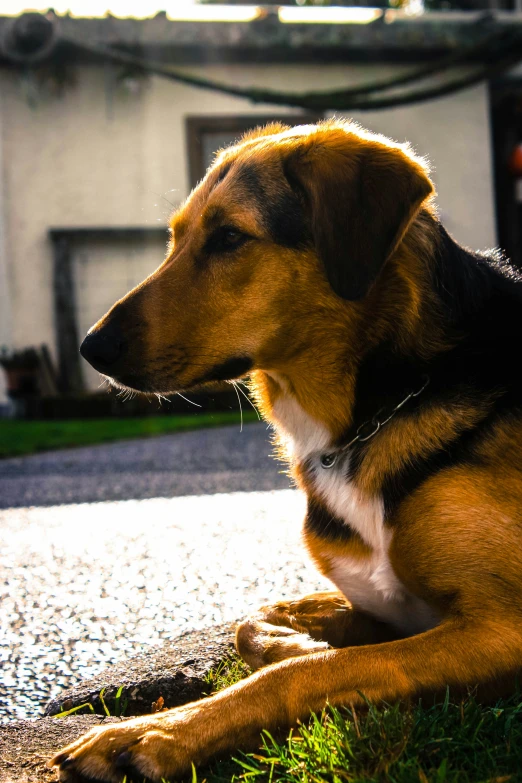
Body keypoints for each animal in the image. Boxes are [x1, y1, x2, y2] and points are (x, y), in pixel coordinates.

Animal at [47, 119, 520, 780]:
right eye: (175, 238)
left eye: (228, 237)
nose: (92, 348)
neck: (370, 411)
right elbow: (255, 622)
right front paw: (294, 641)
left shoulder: (502, 626)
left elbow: (311, 670)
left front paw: (152, 732)